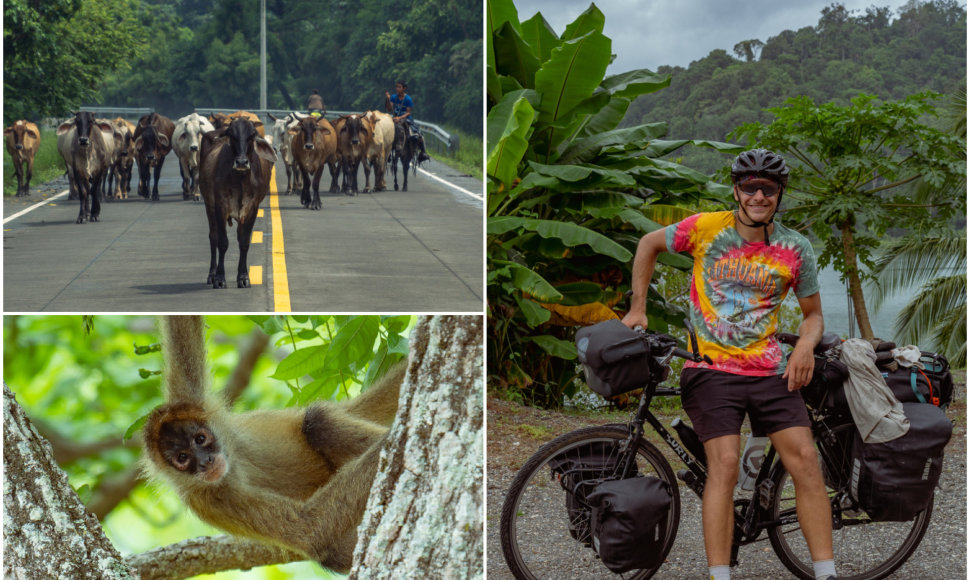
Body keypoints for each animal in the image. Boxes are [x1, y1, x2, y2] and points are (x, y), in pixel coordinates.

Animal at [141, 318, 404, 572]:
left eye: (200, 439)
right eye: (182, 458)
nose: (206, 462)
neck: (233, 463)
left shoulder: (191, 401)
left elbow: (183, 325)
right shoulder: (208, 501)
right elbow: (308, 530)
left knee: (317, 421)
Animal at [199, 118, 276, 290]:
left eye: (251, 135)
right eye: (231, 135)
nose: (241, 162)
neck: (241, 180)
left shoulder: (252, 208)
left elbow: (244, 242)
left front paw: (243, 277)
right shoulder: (220, 206)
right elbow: (222, 243)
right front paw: (220, 278)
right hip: (209, 205)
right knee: (213, 237)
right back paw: (211, 275)